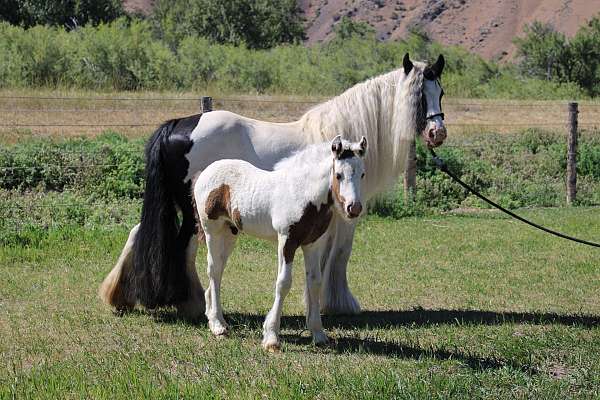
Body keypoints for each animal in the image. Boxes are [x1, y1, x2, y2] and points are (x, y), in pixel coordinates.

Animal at [99, 52, 446, 318]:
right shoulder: (345, 218)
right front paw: (338, 304)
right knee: (183, 245)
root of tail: (180, 125)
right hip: (195, 212)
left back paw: (122, 296)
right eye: (418, 96)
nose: (437, 133)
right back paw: (195, 304)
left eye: (440, 93)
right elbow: (339, 255)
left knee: (142, 232)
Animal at [195, 136, 368, 348]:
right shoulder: (287, 240)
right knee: (213, 270)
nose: (354, 208)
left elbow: (315, 282)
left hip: (230, 234)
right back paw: (217, 325)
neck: (304, 194)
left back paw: (215, 318)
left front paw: (318, 334)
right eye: (338, 175)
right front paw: (271, 337)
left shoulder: (313, 244)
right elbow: (283, 282)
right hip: (213, 231)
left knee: (218, 271)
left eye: (362, 174)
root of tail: (205, 172)